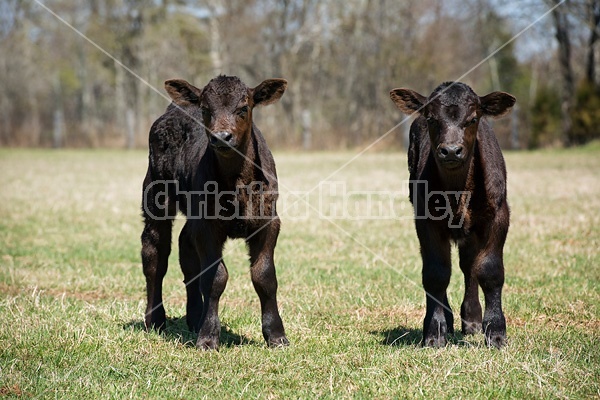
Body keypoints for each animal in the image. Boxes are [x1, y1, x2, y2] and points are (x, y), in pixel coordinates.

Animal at [142, 75, 290, 350]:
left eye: (243, 107)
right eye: (205, 109)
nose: (222, 137)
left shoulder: (268, 221)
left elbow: (264, 276)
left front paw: (276, 335)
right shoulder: (207, 226)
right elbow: (214, 278)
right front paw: (209, 337)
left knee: (186, 251)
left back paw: (194, 318)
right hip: (155, 194)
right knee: (155, 254)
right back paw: (155, 320)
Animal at [390, 82, 516, 346]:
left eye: (473, 118)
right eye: (431, 118)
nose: (450, 151)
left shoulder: (499, 215)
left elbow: (489, 270)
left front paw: (496, 332)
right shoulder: (425, 220)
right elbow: (436, 272)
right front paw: (434, 331)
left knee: (469, 265)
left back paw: (472, 320)